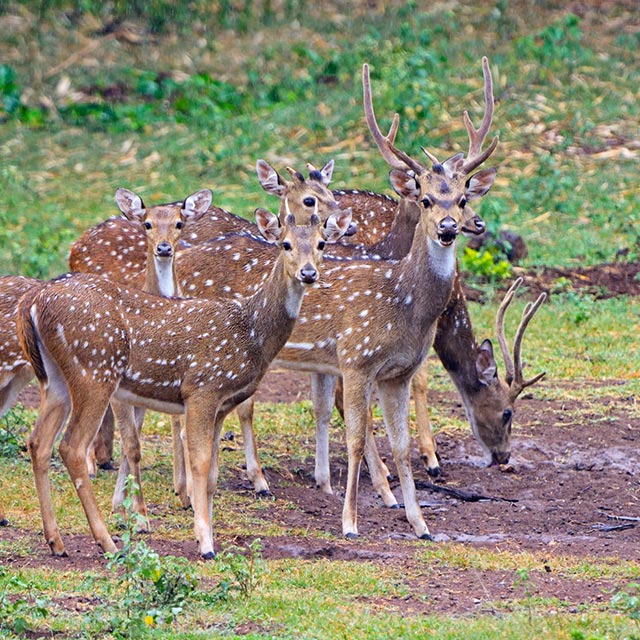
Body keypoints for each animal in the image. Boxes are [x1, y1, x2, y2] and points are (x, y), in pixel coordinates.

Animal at [17, 206, 353, 558]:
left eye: (322, 243)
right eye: (285, 244)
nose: (308, 273)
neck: (251, 333)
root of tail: (35, 303)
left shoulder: (222, 404)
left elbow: (213, 472)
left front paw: (206, 532)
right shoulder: (202, 388)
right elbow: (200, 463)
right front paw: (205, 543)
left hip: (56, 379)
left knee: (38, 442)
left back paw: (56, 541)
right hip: (95, 370)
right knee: (71, 447)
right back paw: (106, 541)